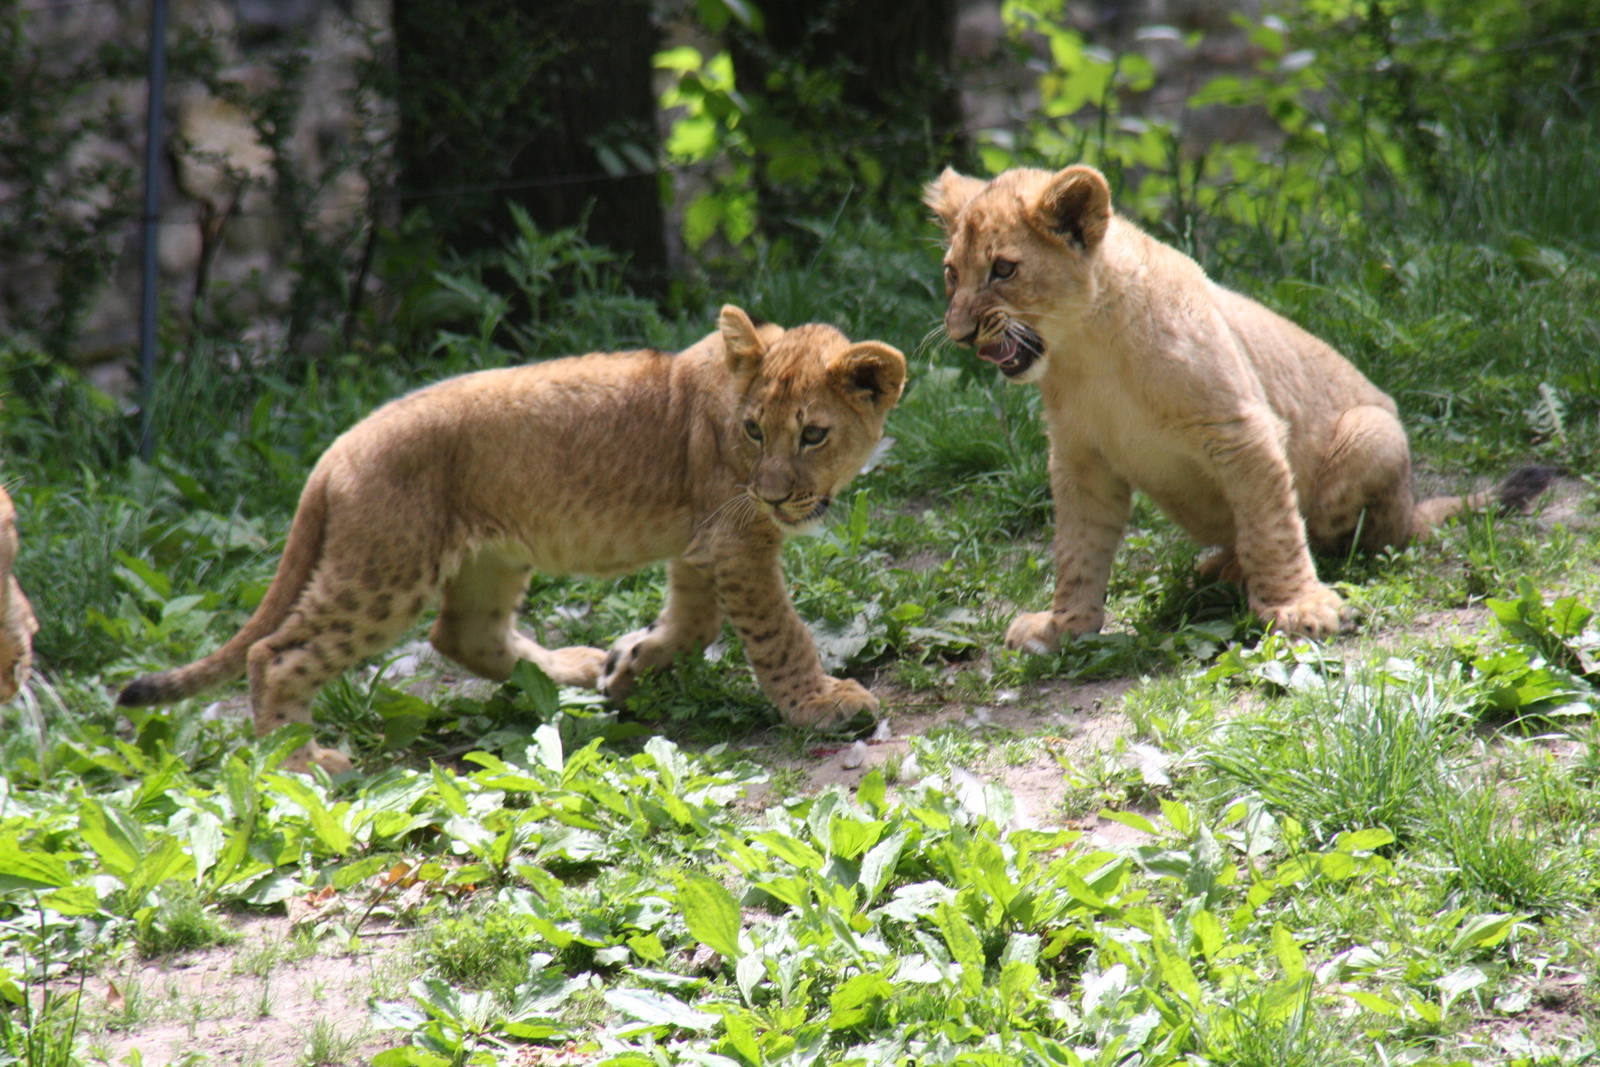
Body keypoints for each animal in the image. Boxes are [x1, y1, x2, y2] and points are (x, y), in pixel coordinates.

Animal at [118, 306, 906, 772]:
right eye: (753, 431)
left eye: (812, 434)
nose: (772, 494)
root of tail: (336, 448)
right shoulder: (736, 535)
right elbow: (776, 632)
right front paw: (821, 703)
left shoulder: (708, 539)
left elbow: (693, 618)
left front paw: (632, 663)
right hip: (383, 571)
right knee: (275, 653)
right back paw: (299, 761)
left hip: (488, 559)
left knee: (463, 636)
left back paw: (575, 671)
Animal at [925, 163, 1552, 648]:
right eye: (952, 273)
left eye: (1004, 269)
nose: (958, 334)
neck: (1086, 348)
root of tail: (1411, 507)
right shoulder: (1081, 461)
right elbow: (1077, 551)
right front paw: (1063, 628)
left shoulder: (1241, 429)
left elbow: (1271, 526)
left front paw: (1299, 607)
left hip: (1372, 433)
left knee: (1351, 538)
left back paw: (1231, 572)